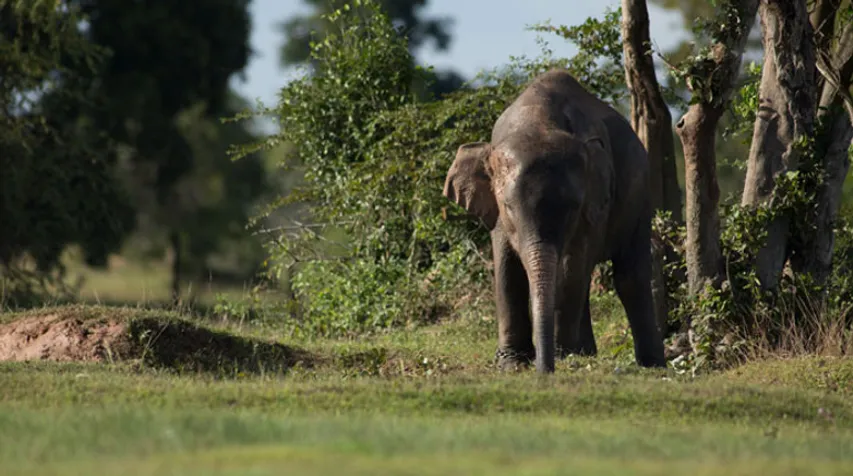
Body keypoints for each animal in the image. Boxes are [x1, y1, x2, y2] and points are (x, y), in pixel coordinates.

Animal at [442, 68, 666, 374]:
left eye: (573, 208)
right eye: (508, 207)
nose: (544, 369)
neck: (538, 120)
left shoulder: (593, 207)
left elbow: (573, 265)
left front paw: (561, 356)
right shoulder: (496, 216)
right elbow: (506, 270)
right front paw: (511, 363)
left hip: (641, 195)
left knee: (630, 276)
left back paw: (651, 365)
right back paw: (586, 353)